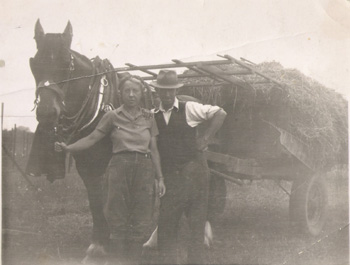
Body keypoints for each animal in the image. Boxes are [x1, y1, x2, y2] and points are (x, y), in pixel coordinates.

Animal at [26, 19, 134, 256]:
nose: (47, 113)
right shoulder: (86, 166)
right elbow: (95, 200)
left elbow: (105, 198)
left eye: (67, 64)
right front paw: (98, 241)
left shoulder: (105, 164)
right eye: (34, 64)